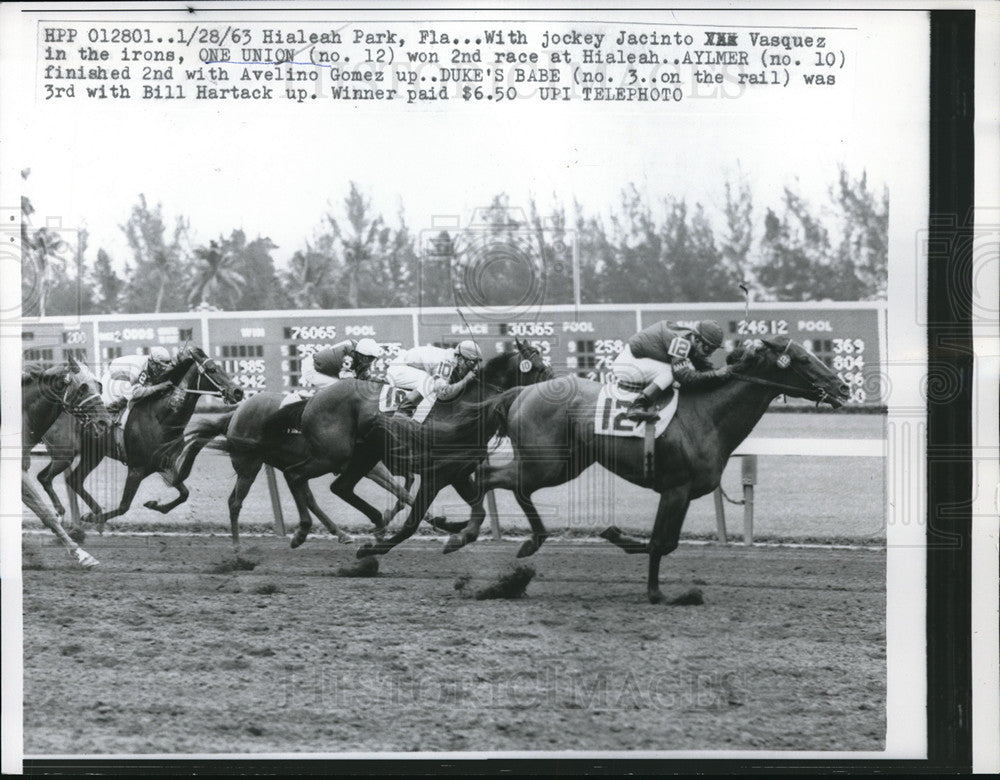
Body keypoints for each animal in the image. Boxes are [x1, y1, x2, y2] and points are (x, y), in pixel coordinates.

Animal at [39, 346, 244, 532]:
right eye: (212, 370)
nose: (238, 392)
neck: (162, 418)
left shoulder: (163, 464)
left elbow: (184, 492)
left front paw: (154, 504)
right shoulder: (136, 468)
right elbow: (124, 506)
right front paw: (93, 518)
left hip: (93, 454)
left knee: (73, 479)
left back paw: (90, 512)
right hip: (65, 455)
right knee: (45, 477)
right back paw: (64, 514)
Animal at [442, 336, 848, 604]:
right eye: (803, 359)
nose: (843, 387)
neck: (706, 416)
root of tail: (521, 392)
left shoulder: (679, 492)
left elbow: (664, 542)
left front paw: (615, 534)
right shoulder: (676, 488)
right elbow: (660, 544)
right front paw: (657, 593)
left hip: (565, 463)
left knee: (508, 485)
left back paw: (511, 538)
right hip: (548, 463)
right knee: (491, 479)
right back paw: (470, 534)